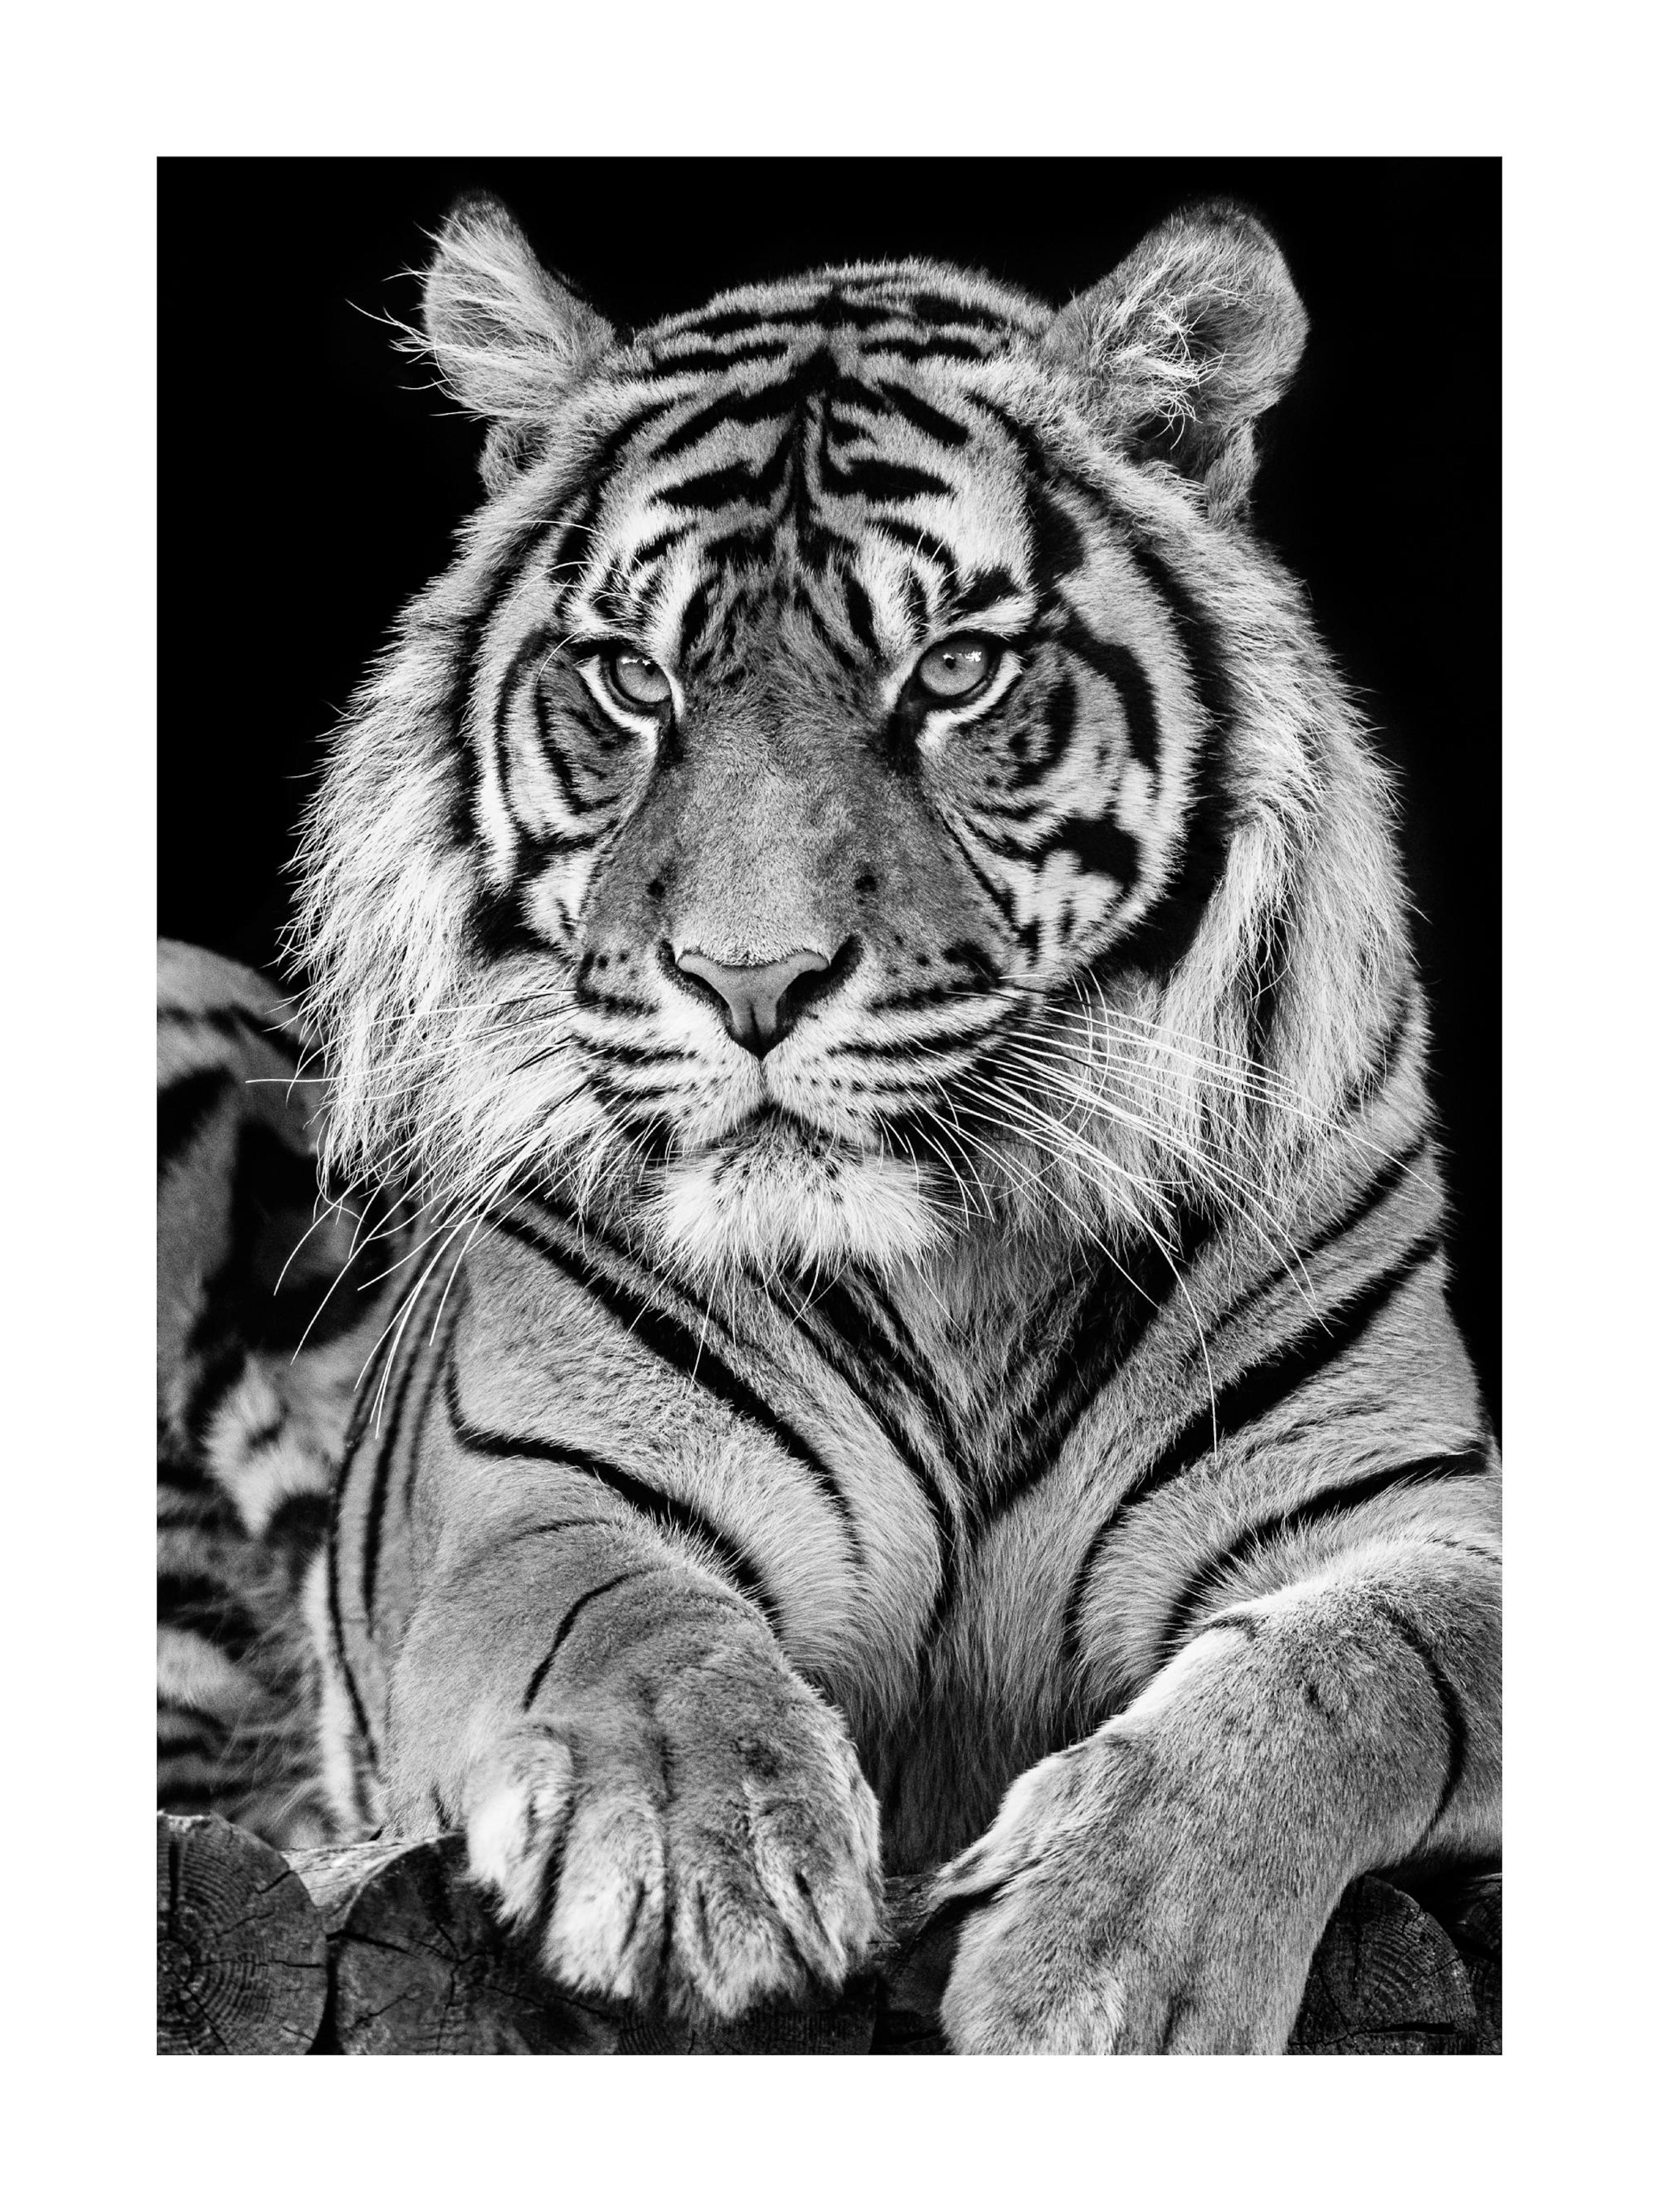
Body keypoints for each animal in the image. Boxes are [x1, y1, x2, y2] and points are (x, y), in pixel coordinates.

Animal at [281, 191, 1500, 2053]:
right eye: (632, 677)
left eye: (959, 669)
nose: (749, 979)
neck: (956, 1265)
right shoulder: (529, 1491)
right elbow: (627, 1622)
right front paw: (699, 1848)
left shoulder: (1423, 1513)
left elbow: (1353, 1667)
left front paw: (1106, 1953)